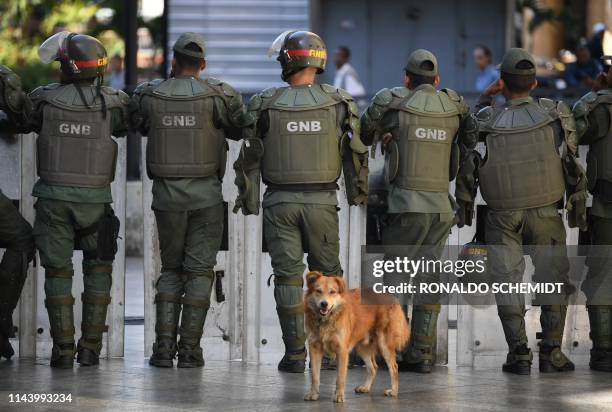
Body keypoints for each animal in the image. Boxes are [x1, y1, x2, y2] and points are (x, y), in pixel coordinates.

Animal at [302, 270, 408, 402]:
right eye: (318, 291)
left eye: (332, 292)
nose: (324, 304)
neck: (326, 320)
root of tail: (390, 296)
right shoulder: (314, 348)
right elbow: (315, 376)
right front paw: (313, 394)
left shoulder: (342, 351)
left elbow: (340, 378)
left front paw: (339, 395)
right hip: (363, 347)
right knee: (373, 367)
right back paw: (366, 387)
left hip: (384, 344)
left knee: (394, 367)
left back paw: (393, 391)